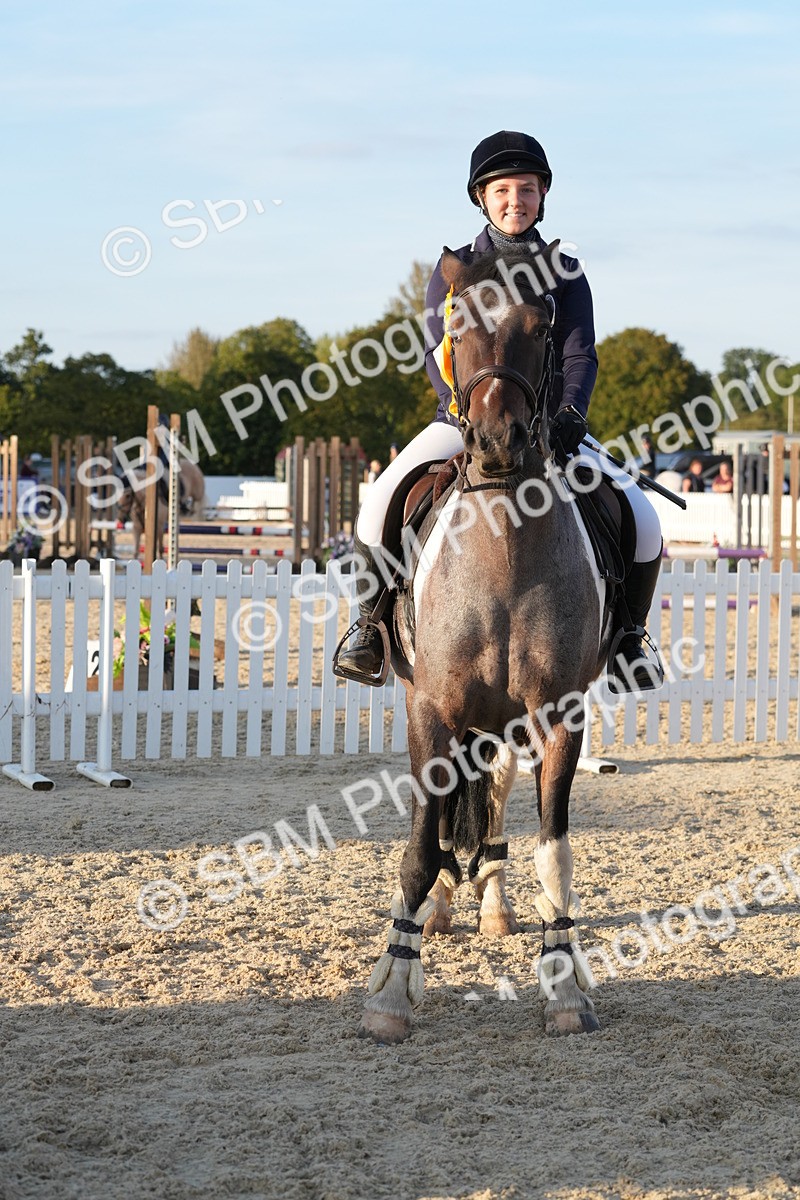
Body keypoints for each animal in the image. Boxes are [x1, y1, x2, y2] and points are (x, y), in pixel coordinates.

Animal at [359, 241, 611, 1044]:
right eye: (455, 323)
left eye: (541, 324)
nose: (498, 444)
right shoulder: (432, 709)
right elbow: (416, 850)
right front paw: (391, 994)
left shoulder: (559, 716)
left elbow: (554, 852)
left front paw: (563, 989)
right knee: (446, 816)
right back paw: (440, 909)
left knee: (492, 797)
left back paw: (493, 906)